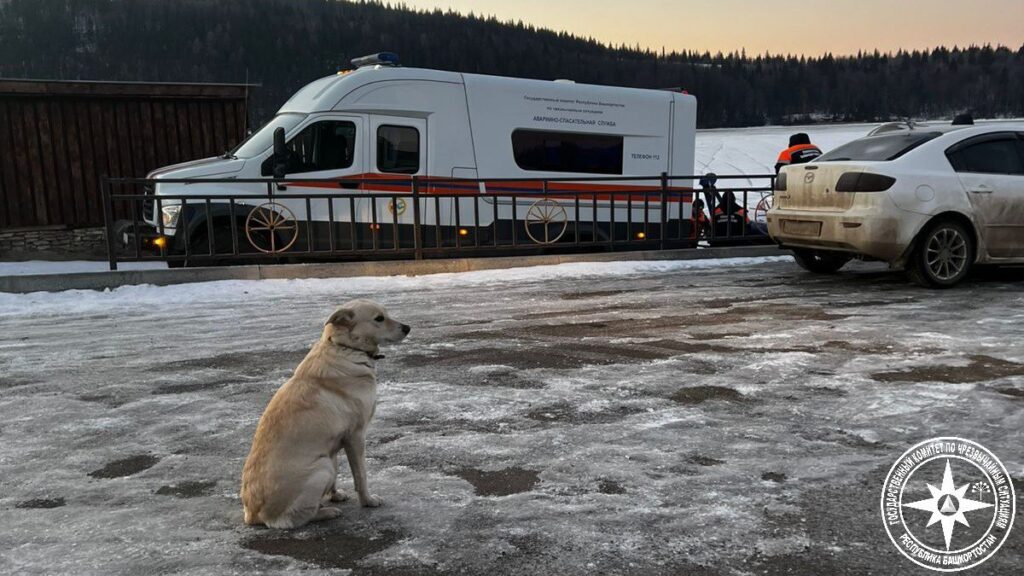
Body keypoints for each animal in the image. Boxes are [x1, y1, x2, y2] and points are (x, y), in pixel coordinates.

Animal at [241, 297, 409, 528]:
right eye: (379, 318)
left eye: (386, 314)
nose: (408, 328)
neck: (345, 348)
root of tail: (253, 515)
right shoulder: (356, 436)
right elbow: (361, 476)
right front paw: (367, 501)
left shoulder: (335, 443)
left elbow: (340, 475)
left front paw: (335, 494)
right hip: (322, 467)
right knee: (293, 519)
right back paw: (327, 512)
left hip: (326, 461)